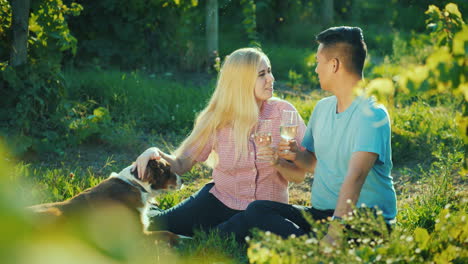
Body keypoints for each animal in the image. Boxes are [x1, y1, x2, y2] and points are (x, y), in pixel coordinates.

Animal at [28, 158, 183, 244]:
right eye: (167, 170)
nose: (183, 180)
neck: (136, 185)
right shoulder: (137, 235)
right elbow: (167, 233)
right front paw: (183, 238)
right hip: (54, 213)